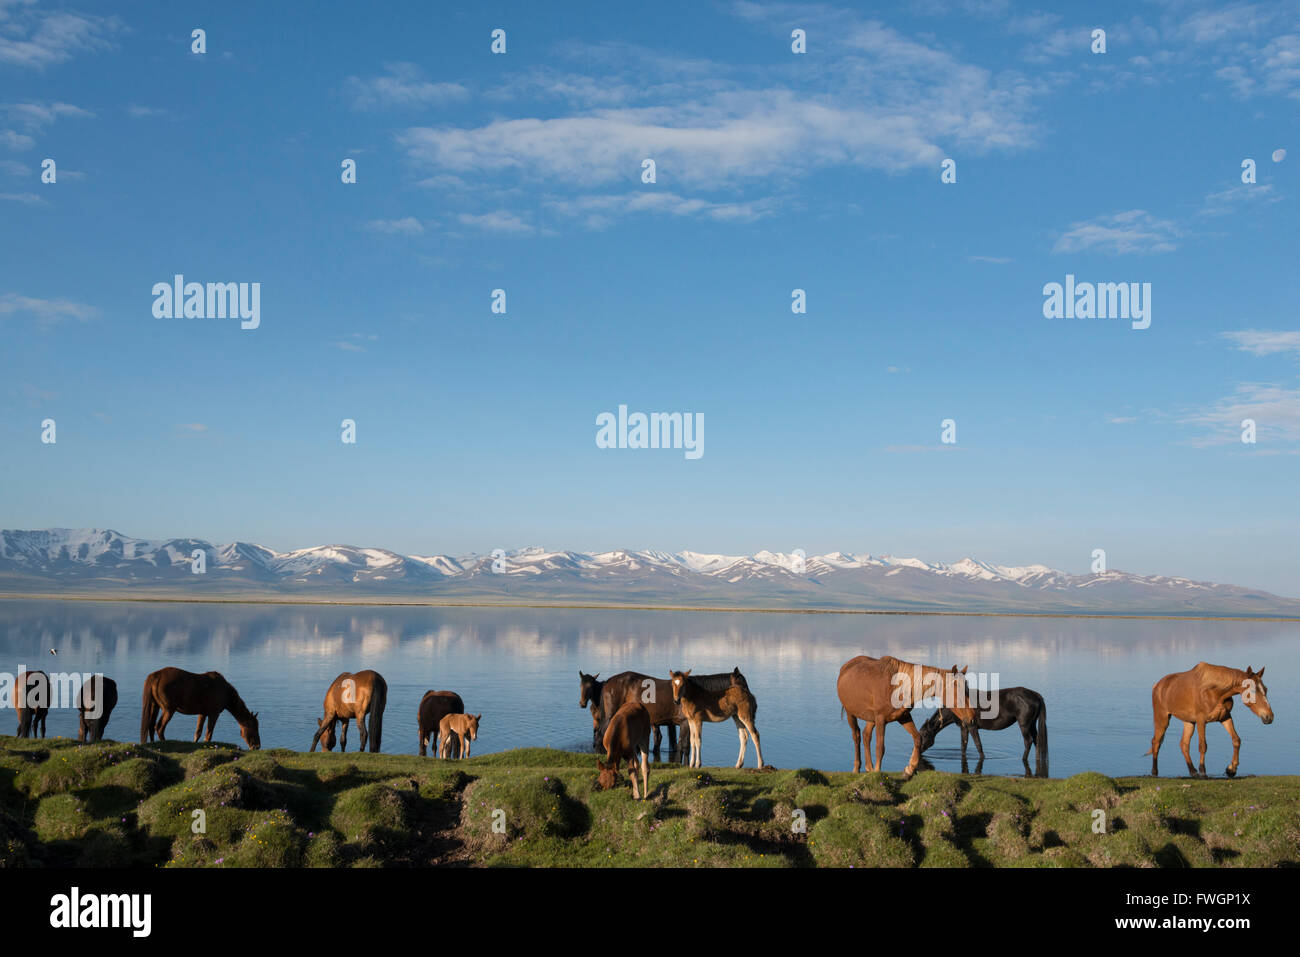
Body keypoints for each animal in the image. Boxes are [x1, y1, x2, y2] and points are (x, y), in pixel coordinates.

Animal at [842, 655, 977, 780]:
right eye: (957, 690)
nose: (972, 717)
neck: (896, 687)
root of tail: (846, 666)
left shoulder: (904, 716)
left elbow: (917, 739)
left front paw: (909, 770)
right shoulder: (881, 719)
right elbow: (880, 748)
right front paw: (877, 773)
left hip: (871, 718)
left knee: (866, 735)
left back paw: (869, 768)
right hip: (851, 714)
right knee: (857, 736)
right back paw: (857, 768)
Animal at [915, 681, 1045, 780]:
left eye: (925, 734)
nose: (918, 751)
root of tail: (1035, 695)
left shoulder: (972, 726)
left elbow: (978, 745)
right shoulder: (964, 727)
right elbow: (963, 746)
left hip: (1024, 724)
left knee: (1028, 741)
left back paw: (1023, 759)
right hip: (1032, 724)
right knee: (1037, 740)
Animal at [1144, 665, 1274, 780]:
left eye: (1266, 689)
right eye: (1252, 690)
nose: (1269, 717)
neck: (1215, 691)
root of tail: (1157, 686)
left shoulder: (1225, 717)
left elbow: (1236, 740)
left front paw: (1231, 769)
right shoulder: (1201, 720)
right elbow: (1203, 746)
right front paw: (1203, 772)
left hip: (1189, 722)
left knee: (1184, 744)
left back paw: (1193, 771)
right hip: (1162, 718)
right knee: (1156, 742)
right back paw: (1155, 772)